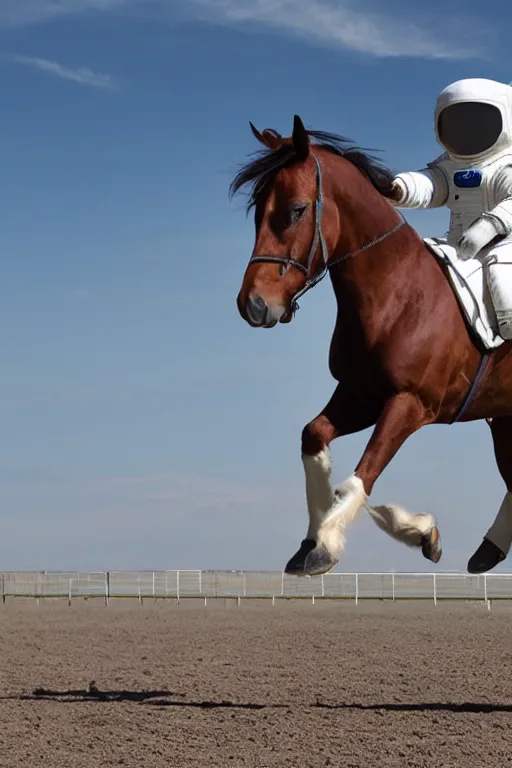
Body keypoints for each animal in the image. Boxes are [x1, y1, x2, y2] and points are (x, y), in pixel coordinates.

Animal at [233, 115, 512, 576]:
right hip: (501, 421)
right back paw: (489, 549)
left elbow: (360, 476)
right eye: (257, 212)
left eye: (296, 210)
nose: (253, 305)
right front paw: (415, 532)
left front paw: (329, 543)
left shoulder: (410, 403)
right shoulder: (360, 394)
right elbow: (314, 437)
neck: (398, 294)